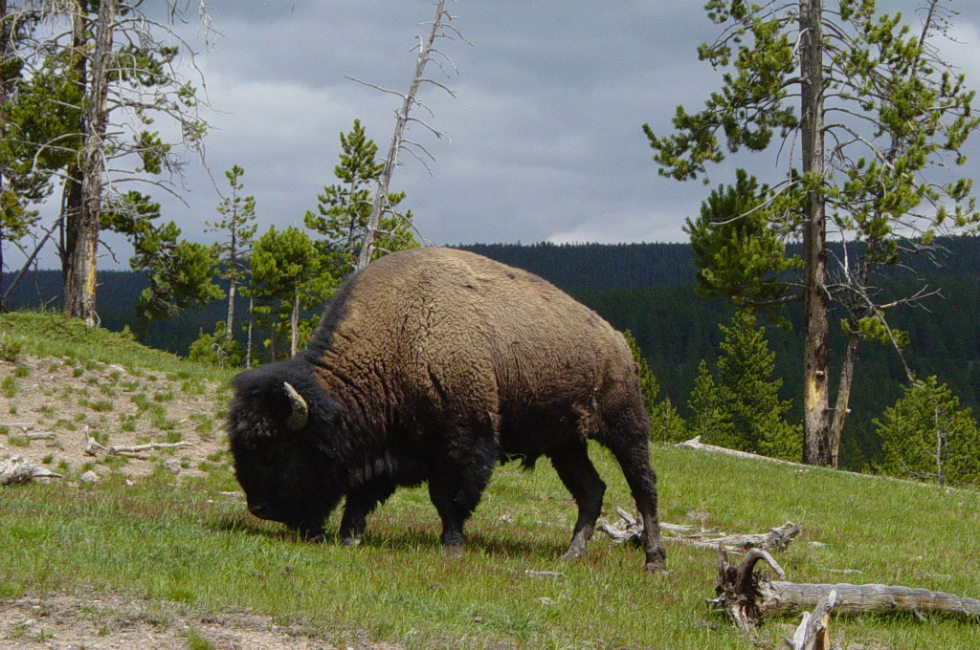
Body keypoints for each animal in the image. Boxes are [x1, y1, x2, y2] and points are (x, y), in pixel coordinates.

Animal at [225, 246, 668, 568]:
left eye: (278, 449)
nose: (259, 508)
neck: (398, 335)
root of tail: (617, 341)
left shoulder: (464, 440)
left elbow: (449, 497)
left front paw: (450, 546)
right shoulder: (388, 447)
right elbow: (363, 492)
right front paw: (349, 536)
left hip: (625, 427)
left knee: (643, 486)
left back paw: (654, 561)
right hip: (565, 444)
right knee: (591, 490)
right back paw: (570, 556)